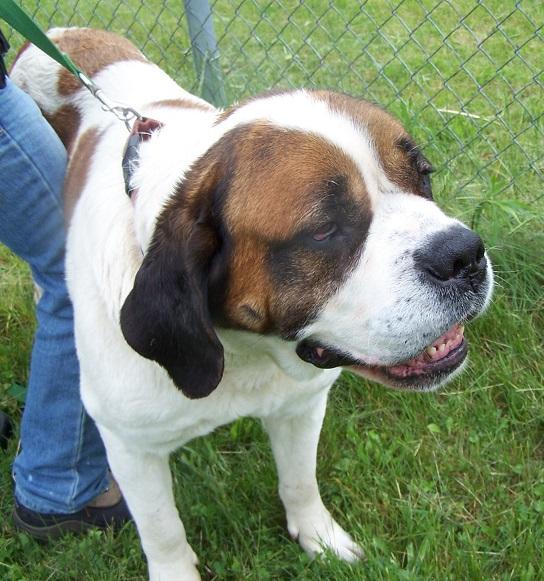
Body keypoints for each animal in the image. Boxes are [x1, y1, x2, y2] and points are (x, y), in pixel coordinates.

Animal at [11, 27, 493, 580]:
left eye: (424, 177)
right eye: (325, 229)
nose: (462, 253)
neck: (244, 353)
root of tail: (60, 33)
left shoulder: (302, 404)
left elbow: (300, 480)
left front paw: (319, 537)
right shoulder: (130, 447)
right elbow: (162, 529)